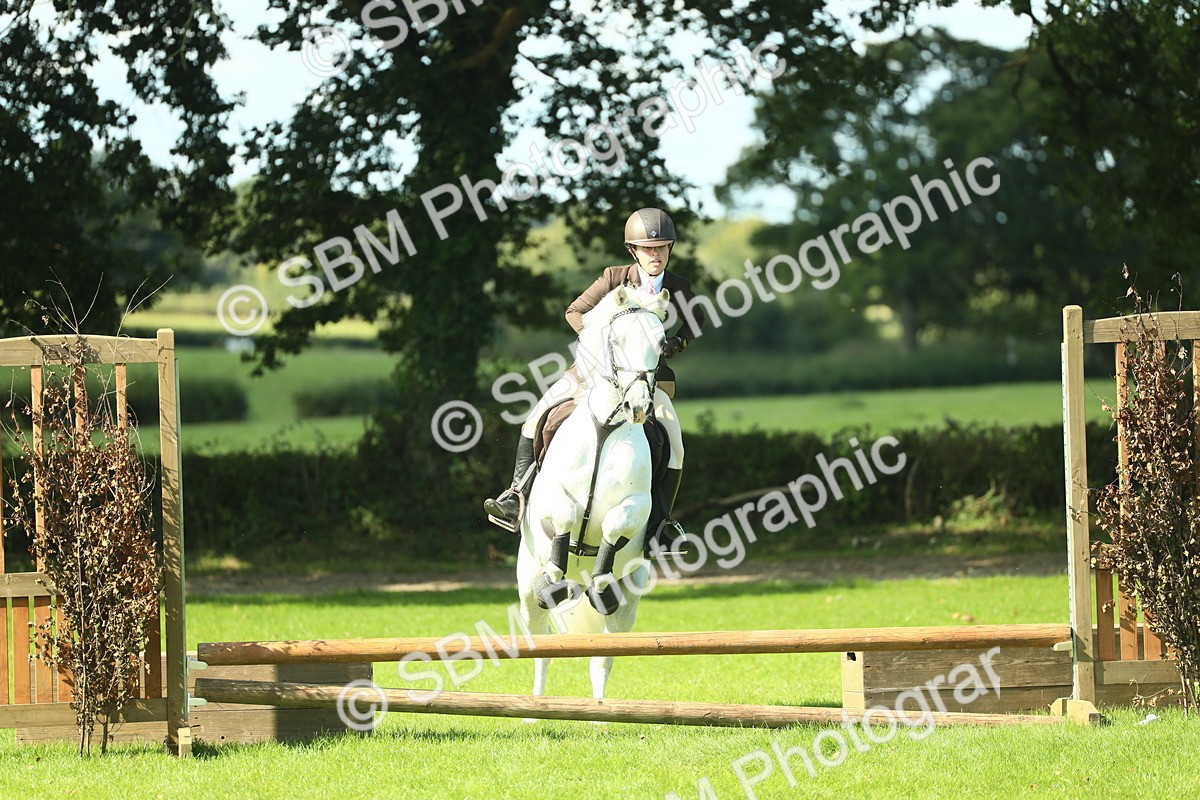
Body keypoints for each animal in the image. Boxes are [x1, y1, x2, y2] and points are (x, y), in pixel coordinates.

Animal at [516, 283, 669, 702]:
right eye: (617, 341)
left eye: (662, 343)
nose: (639, 406)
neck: (606, 425)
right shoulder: (549, 499)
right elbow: (567, 514)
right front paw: (555, 574)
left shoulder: (639, 505)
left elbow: (615, 522)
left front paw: (602, 580)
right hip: (526, 590)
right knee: (541, 652)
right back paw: (535, 706)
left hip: (628, 603)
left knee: (602, 657)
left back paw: (601, 709)